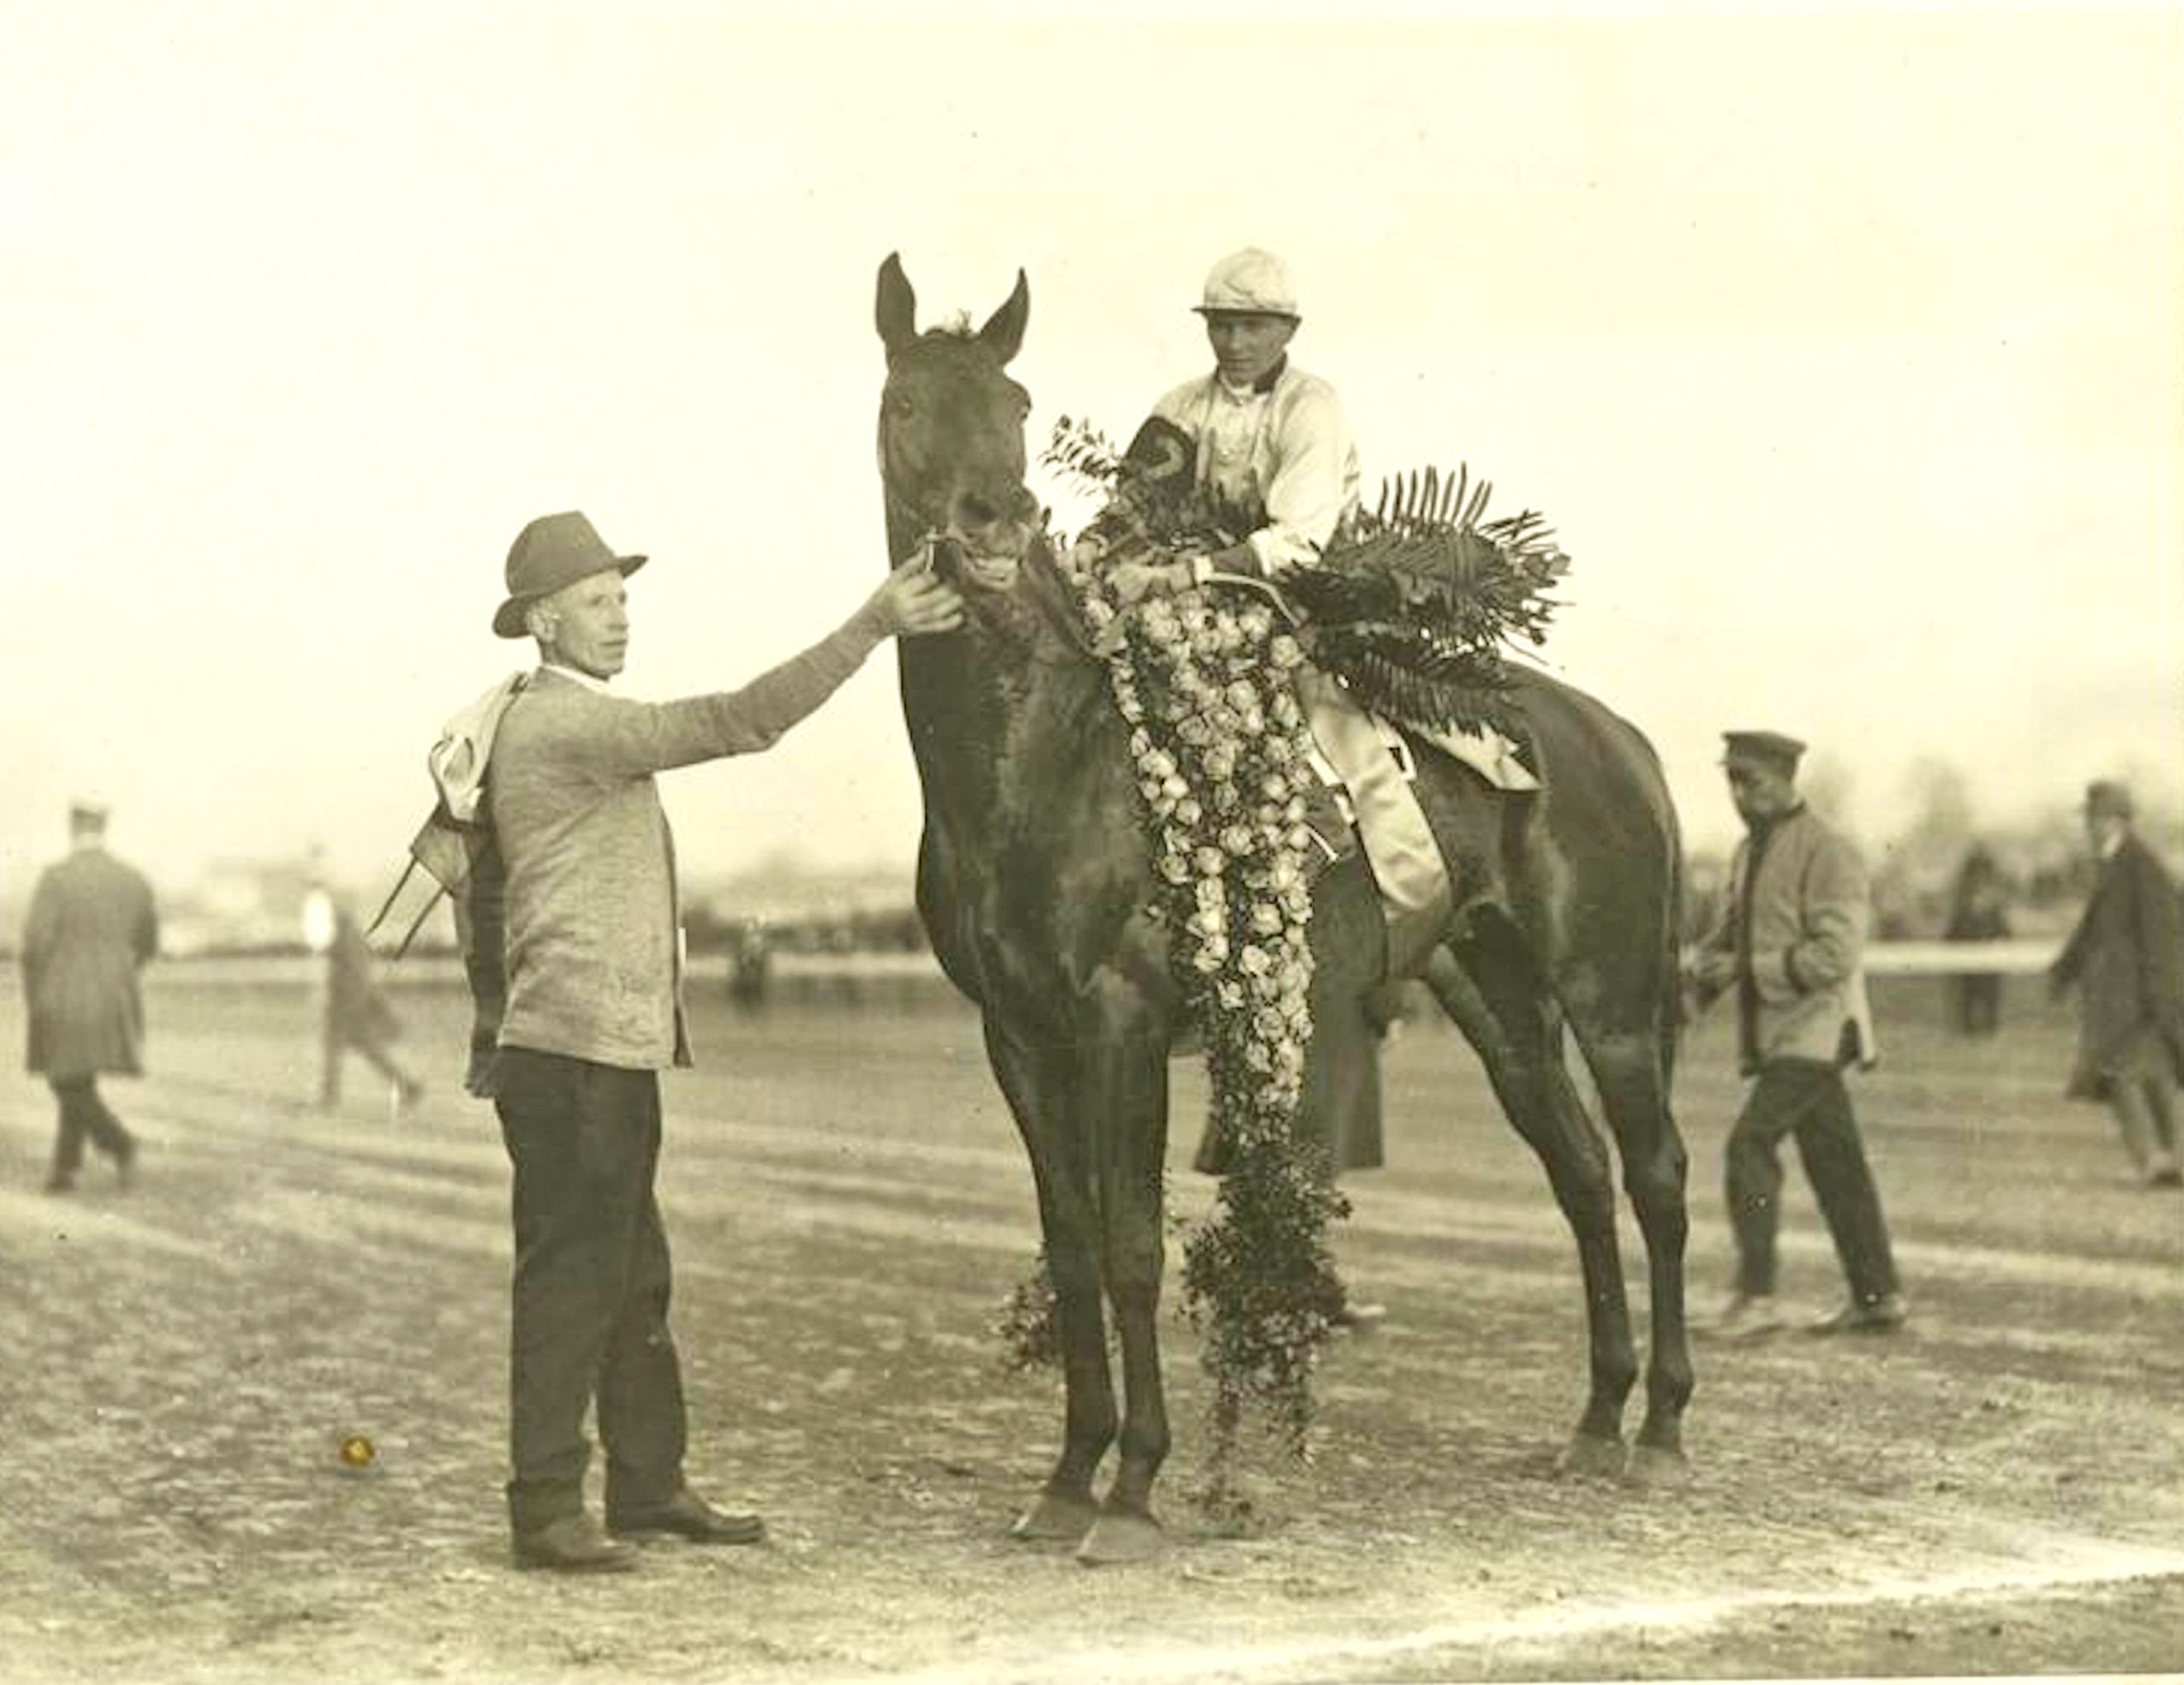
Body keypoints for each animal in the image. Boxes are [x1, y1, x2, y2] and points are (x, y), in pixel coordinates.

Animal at [878, 253, 1695, 1565]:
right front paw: (1065, 1479)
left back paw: (1662, 1426)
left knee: (1656, 1175)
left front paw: (1133, 1489)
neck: (1044, 752)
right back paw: (1595, 1419)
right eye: (906, 403)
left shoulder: (1118, 1024)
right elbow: (1069, 1247)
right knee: (1578, 1173)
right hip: (1497, 999)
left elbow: (1130, 1247)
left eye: (1012, 403)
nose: (993, 523)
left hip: (1606, 997)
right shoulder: (1019, 1034)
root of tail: (1616, 739)